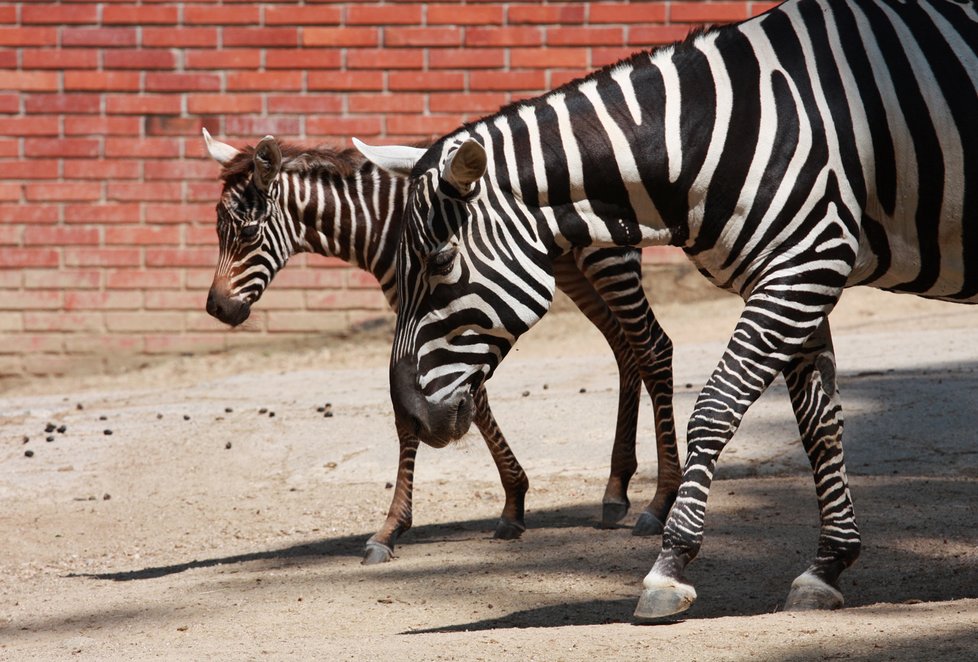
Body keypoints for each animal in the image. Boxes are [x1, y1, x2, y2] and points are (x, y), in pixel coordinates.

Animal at [202, 130, 684, 564]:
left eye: (248, 233)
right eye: (218, 230)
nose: (216, 308)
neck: (382, 222)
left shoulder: (438, 319)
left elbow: (417, 415)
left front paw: (391, 529)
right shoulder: (440, 325)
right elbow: (464, 401)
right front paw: (513, 503)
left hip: (608, 261)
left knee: (653, 346)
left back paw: (657, 503)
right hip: (571, 272)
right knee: (625, 348)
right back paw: (616, 489)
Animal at [356, 0, 976, 624]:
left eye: (440, 261)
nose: (408, 417)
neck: (707, 135)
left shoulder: (807, 263)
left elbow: (716, 408)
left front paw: (668, 566)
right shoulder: (797, 274)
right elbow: (820, 425)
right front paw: (827, 567)